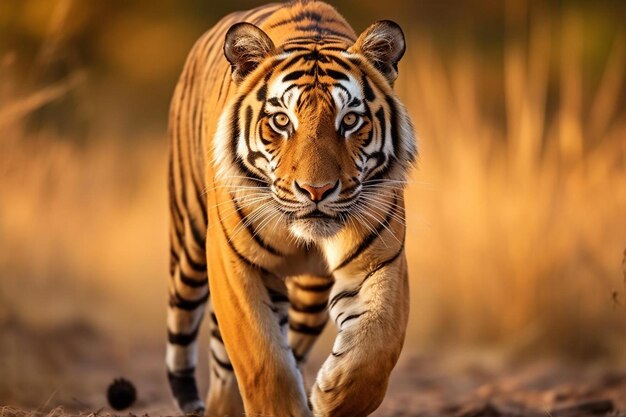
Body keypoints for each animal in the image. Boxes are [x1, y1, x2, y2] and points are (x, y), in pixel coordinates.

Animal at [167, 1, 414, 414]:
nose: (316, 191)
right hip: (189, 246)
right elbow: (263, 361)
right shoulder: (236, 264)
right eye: (282, 120)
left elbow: (376, 347)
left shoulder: (380, 260)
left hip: (311, 294)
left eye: (350, 120)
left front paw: (331, 394)